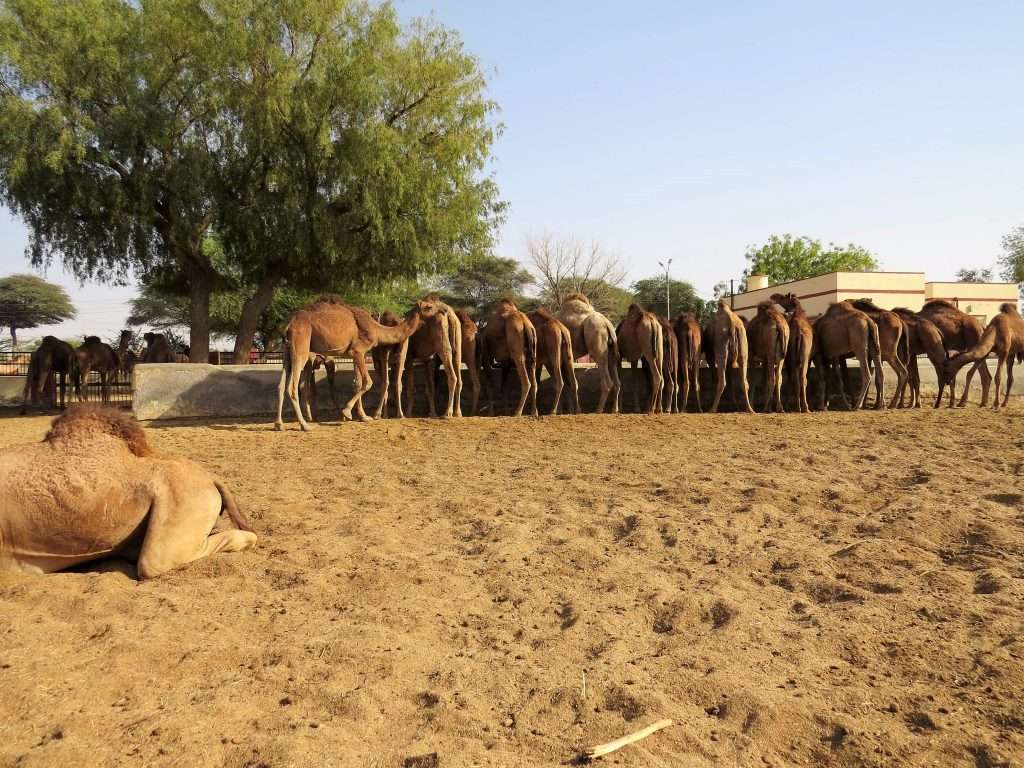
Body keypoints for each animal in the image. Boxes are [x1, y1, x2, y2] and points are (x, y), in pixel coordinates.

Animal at [275, 295, 440, 431]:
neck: (376, 328)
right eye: (429, 307)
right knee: (293, 387)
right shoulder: (358, 350)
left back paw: (279, 424)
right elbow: (368, 382)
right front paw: (347, 413)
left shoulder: (354, 354)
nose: (443, 310)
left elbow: (358, 382)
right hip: (301, 348)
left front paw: (363, 417)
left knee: (281, 385)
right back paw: (305, 425)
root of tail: (289, 326)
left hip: (286, 352)